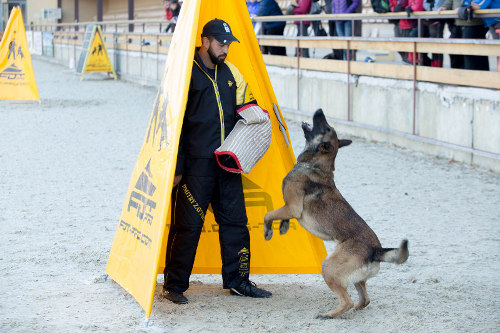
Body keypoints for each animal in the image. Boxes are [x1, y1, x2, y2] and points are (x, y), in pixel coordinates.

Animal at [264, 108, 408, 316]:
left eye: (326, 127)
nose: (319, 110)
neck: (315, 165)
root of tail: (376, 250)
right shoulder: (290, 208)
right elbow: (281, 216)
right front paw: (283, 226)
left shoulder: (292, 207)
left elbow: (269, 215)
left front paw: (268, 231)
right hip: (353, 277)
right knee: (364, 299)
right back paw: (353, 310)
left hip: (328, 267)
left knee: (347, 300)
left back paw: (328, 315)